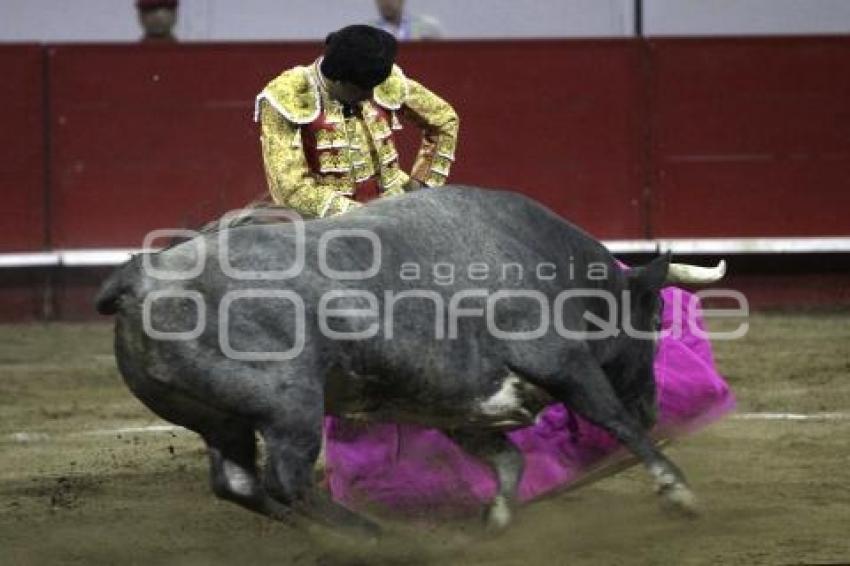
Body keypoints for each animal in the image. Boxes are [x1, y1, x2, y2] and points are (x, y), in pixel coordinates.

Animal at [96, 189, 712, 536]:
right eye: (656, 318)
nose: (656, 408)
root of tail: (140, 277)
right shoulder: (559, 360)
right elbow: (613, 419)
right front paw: (678, 491)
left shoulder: (459, 407)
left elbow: (508, 460)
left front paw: (497, 521)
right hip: (290, 405)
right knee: (285, 480)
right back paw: (378, 539)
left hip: (219, 418)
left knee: (241, 483)